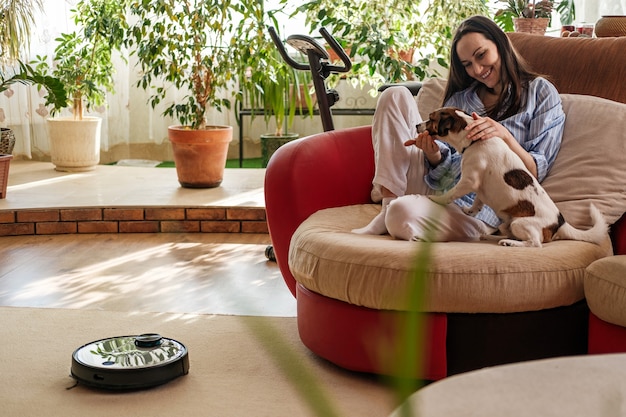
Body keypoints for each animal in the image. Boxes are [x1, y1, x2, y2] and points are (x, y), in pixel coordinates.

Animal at [414, 106, 604, 247]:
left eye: (430, 119)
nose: (417, 125)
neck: (475, 141)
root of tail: (560, 223)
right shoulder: (479, 188)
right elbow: (477, 202)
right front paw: (470, 210)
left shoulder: (469, 181)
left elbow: (451, 193)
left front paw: (437, 199)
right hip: (506, 224)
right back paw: (494, 238)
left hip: (519, 223)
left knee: (534, 243)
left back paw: (511, 243)